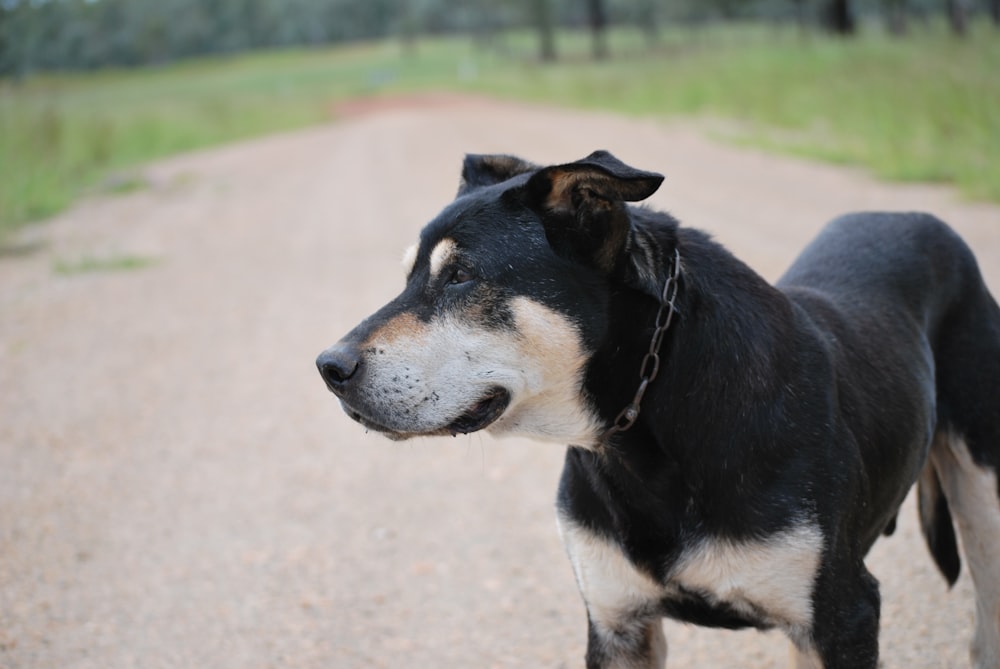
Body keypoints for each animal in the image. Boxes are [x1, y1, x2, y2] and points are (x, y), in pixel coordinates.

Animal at [314, 151, 1000, 668]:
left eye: (460, 276)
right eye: (408, 277)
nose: (329, 368)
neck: (643, 428)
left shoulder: (841, 614)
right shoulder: (618, 622)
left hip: (983, 492)